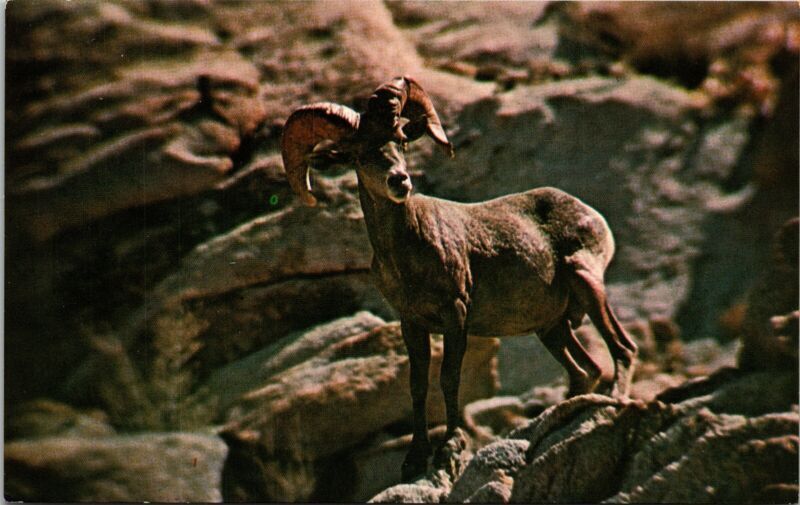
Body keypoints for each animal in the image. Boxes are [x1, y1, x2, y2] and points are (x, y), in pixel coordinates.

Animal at [280, 76, 638, 481]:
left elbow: (450, 379)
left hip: (587, 284)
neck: (407, 255)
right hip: (551, 328)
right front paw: (415, 460)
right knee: (586, 370)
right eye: (358, 153)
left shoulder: (456, 315)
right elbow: (418, 385)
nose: (399, 180)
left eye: (401, 140)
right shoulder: (412, 323)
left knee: (623, 348)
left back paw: (615, 400)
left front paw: (449, 449)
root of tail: (591, 215)